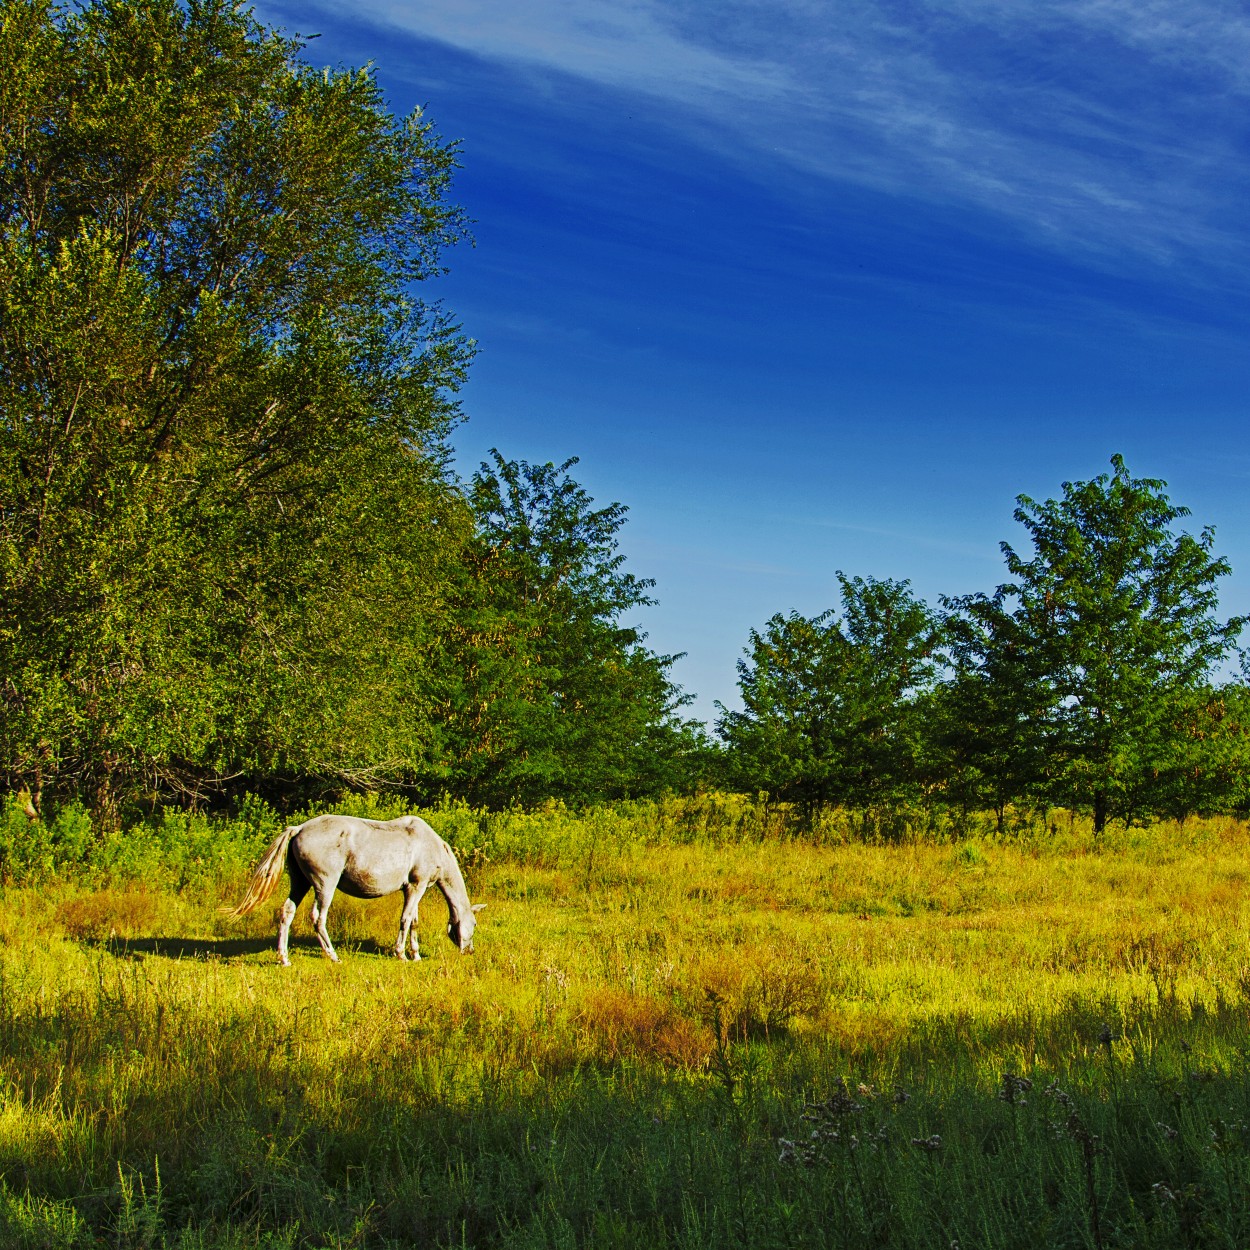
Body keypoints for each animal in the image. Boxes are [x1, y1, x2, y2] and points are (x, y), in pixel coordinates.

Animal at [230, 810, 482, 965]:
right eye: (474, 924)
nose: (470, 951)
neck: (431, 845)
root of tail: (299, 829)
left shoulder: (412, 889)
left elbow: (413, 921)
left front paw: (416, 955)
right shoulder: (416, 886)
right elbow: (405, 919)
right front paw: (401, 954)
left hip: (300, 883)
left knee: (286, 912)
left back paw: (284, 959)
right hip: (325, 885)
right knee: (318, 917)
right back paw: (333, 955)